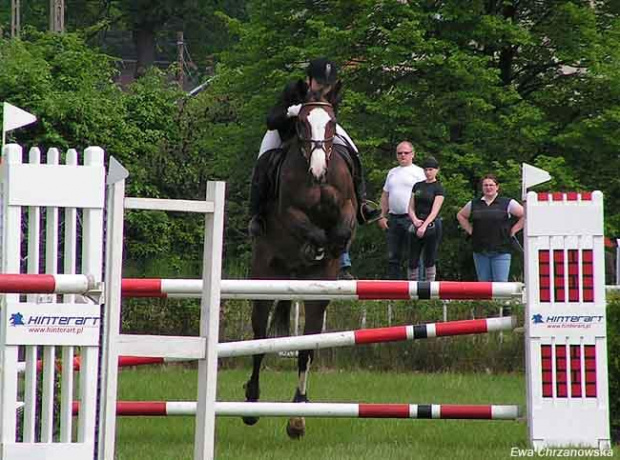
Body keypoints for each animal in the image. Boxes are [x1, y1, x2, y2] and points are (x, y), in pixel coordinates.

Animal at [243, 101, 356, 438]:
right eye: (302, 125)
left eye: (331, 123)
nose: (318, 171)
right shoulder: (290, 211)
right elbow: (309, 229)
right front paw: (314, 246)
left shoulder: (347, 206)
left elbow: (341, 228)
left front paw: (332, 250)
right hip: (263, 280)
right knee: (259, 340)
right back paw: (251, 405)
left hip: (315, 297)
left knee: (307, 346)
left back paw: (298, 413)